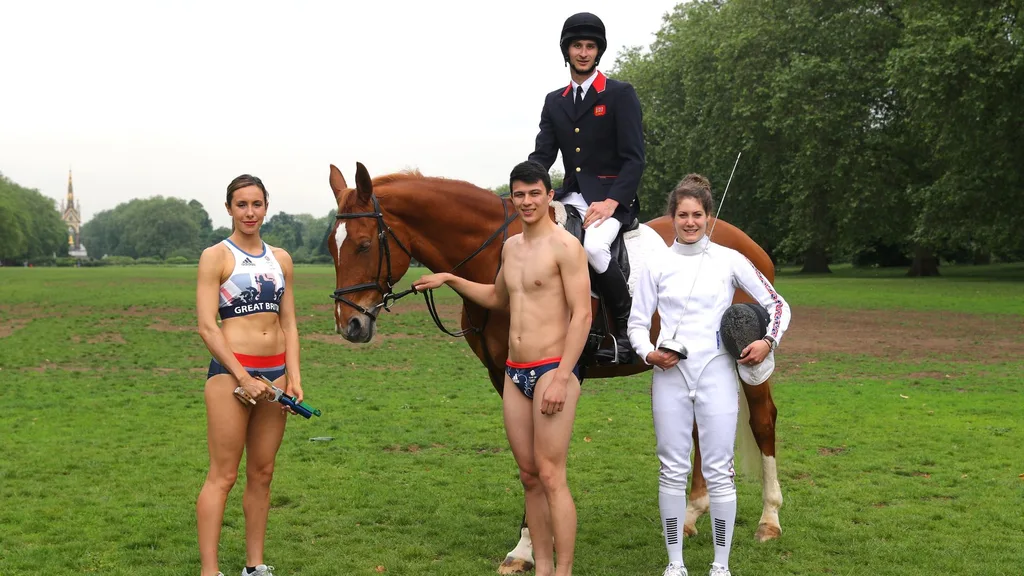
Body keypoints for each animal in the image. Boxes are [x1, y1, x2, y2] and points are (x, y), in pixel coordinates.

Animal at [327, 161, 782, 569]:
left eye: (364, 244)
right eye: (332, 246)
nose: (349, 324)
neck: (502, 252)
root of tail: (745, 242)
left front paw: (528, 546)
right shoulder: (503, 376)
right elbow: (524, 459)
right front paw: (527, 545)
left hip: (747, 359)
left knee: (762, 420)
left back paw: (768, 520)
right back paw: (690, 515)